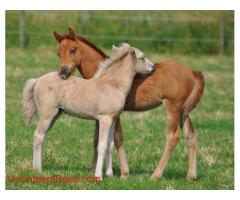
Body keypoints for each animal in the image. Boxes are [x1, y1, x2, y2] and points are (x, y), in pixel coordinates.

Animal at [22, 43, 154, 178]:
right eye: (142, 58)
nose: (153, 68)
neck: (113, 85)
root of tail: (37, 80)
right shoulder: (104, 118)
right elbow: (102, 145)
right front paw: (98, 175)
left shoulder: (113, 119)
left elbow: (110, 144)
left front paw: (110, 174)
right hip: (47, 114)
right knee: (38, 135)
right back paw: (38, 169)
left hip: (56, 114)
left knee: (41, 136)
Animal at [52, 28, 204, 180]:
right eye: (58, 52)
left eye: (72, 50)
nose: (62, 73)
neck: (108, 76)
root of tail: (192, 72)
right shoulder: (100, 114)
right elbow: (96, 139)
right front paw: (94, 168)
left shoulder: (115, 114)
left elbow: (117, 139)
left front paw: (123, 173)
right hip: (183, 111)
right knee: (191, 135)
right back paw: (191, 175)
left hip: (173, 108)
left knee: (173, 137)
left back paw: (156, 175)